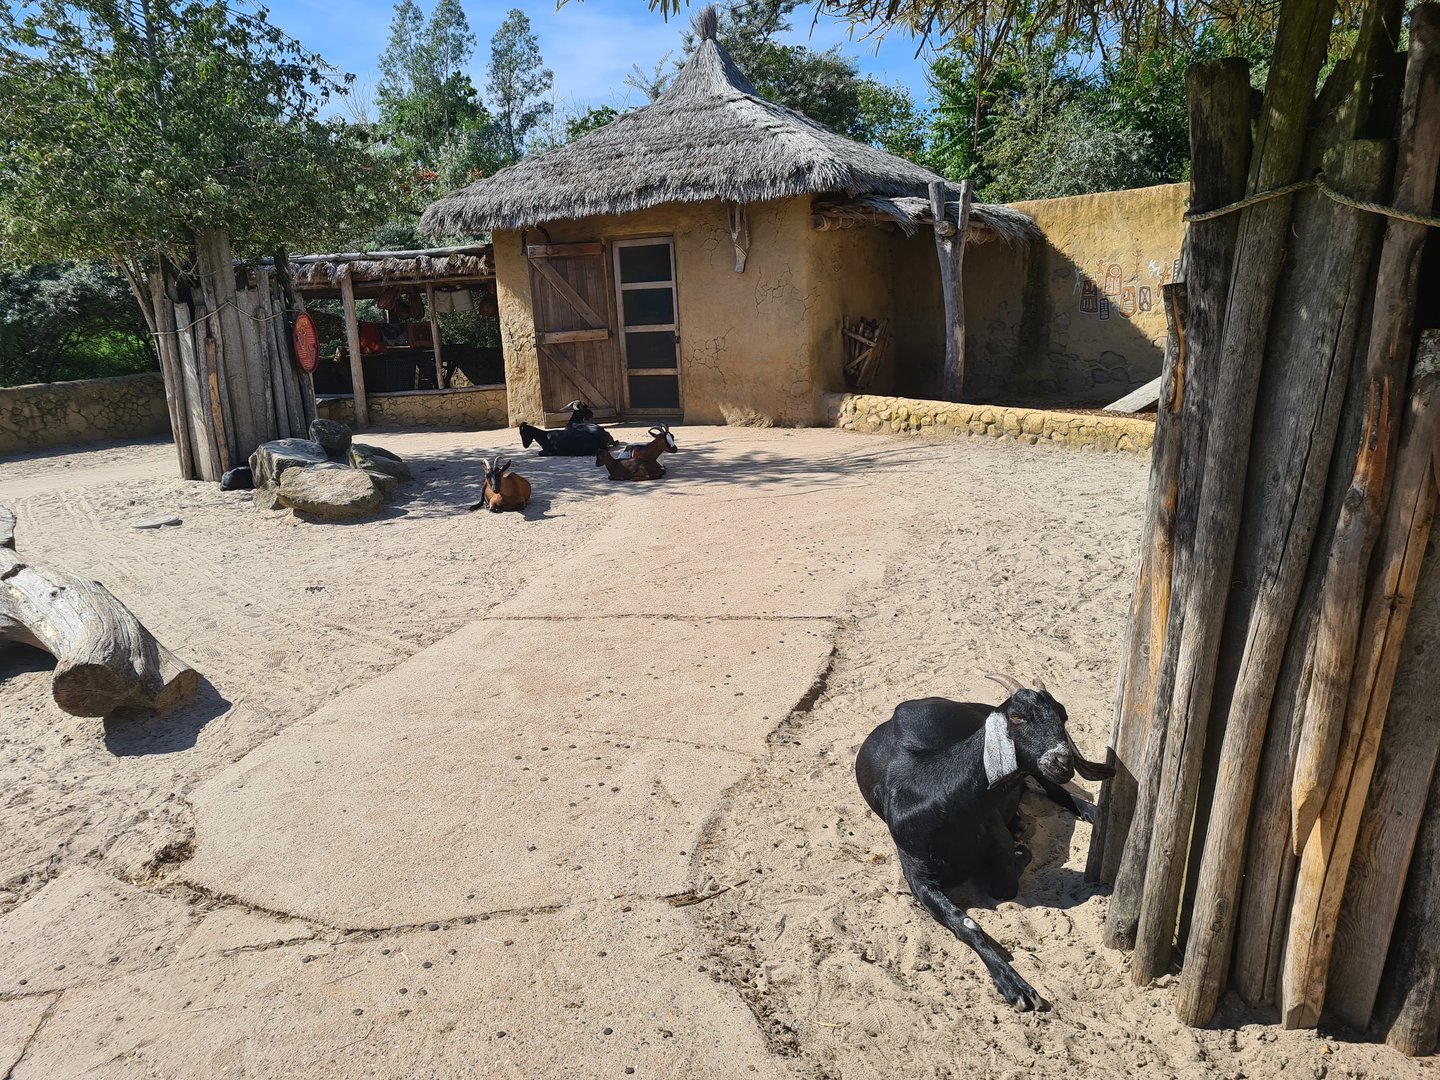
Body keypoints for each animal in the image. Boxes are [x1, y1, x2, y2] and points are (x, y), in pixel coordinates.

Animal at [855, 672, 1114, 1011]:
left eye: (1063, 716)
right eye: (1017, 717)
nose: (1062, 761)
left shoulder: (996, 839)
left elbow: (1004, 887)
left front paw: (1021, 850)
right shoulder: (917, 876)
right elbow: (967, 924)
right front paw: (1015, 985)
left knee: (1055, 789)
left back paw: (1091, 813)